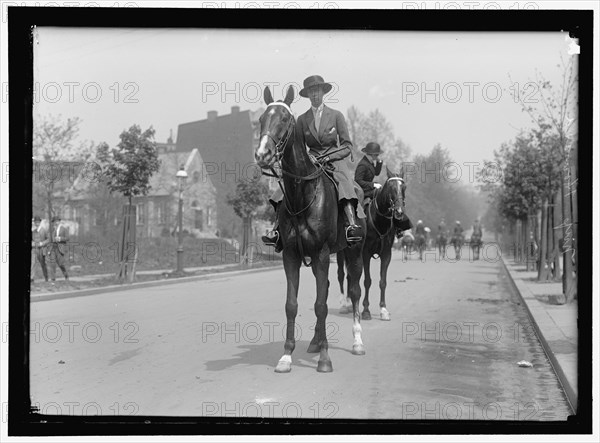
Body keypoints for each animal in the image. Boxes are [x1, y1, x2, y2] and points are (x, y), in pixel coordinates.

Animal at [253, 85, 366, 372]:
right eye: (261, 119)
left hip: (354, 252)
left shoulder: (323, 253)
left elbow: (322, 305)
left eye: (285, 119)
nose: (262, 155)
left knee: (355, 291)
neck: (302, 194)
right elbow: (292, 304)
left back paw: (357, 342)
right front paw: (286, 356)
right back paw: (315, 341)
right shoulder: (291, 255)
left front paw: (325, 359)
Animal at [336, 176, 406, 322]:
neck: (379, 220)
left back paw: (350, 303)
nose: (399, 211)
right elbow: (367, 281)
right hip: (341, 253)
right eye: (390, 188)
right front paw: (366, 310)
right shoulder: (365, 254)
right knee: (341, 275)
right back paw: (344, 305)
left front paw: (383, 310)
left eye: (404, 187)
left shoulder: (386, 254)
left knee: (350, 276)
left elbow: (383, 281)